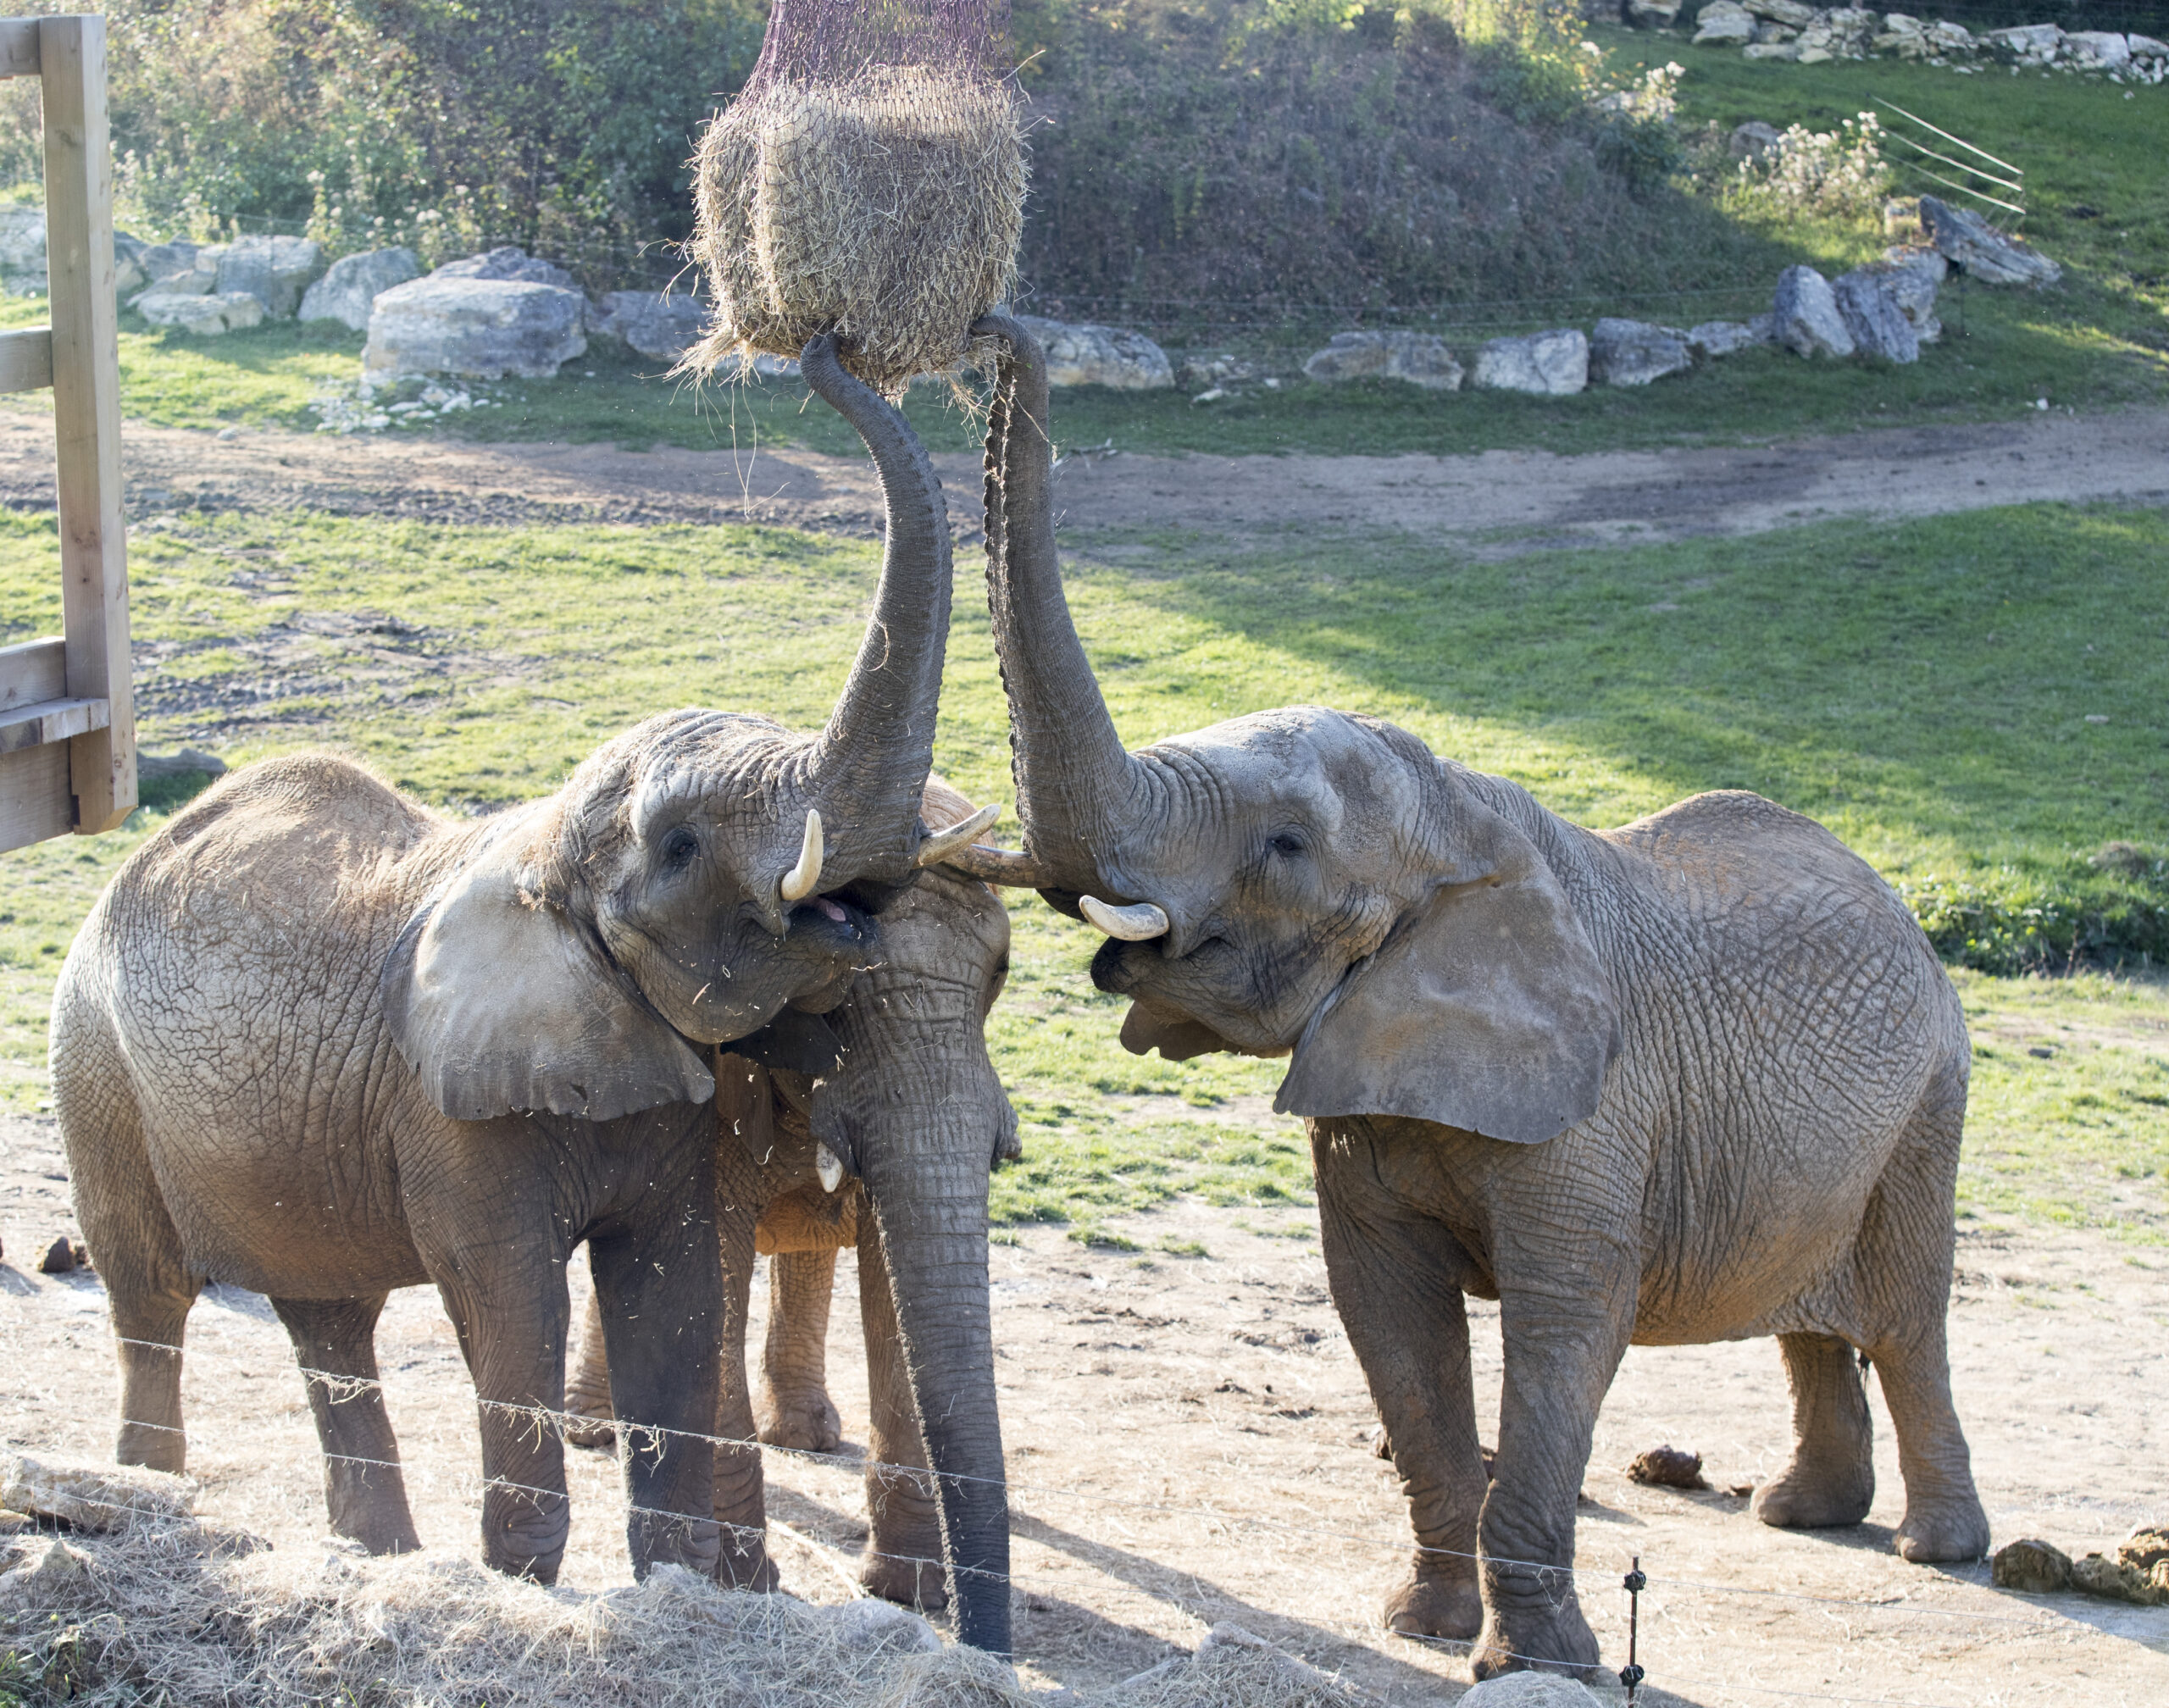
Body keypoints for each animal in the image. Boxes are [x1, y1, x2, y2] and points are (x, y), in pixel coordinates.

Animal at [48, 340, 993, 1594]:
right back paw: (148, 1500)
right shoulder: (449, 1109)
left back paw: (379, 1557)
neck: (545, 852)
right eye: (680, 847)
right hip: (94, 1077)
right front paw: (528, 1587)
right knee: (149, 1296)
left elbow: (672, 1294)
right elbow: (509, 1293)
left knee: (328, 1318)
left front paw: (674, 1589)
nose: (816, 348)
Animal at [568, 775, 1023, 1639]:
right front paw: (743, 1590)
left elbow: (891, 1276)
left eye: (998, 978)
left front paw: (911, 1593)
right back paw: (591, 1431)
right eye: (821, 1004)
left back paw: (807, 1436)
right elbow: (706, 1269)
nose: (982, 1648)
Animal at [950, 313, 1995, 1673]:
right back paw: (1800, 1515)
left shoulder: (1597, 1111)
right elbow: (1388, 1317)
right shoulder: (1364, 1087)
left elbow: (1567, 1321)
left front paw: (1535, 1662)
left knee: (1910, 1317)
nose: (991, 327)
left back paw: (1937, 1548)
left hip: (1931, 1105)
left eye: (1286, 845)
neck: (1458, 817)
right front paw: (1422, 1629)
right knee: (1815, 1319)